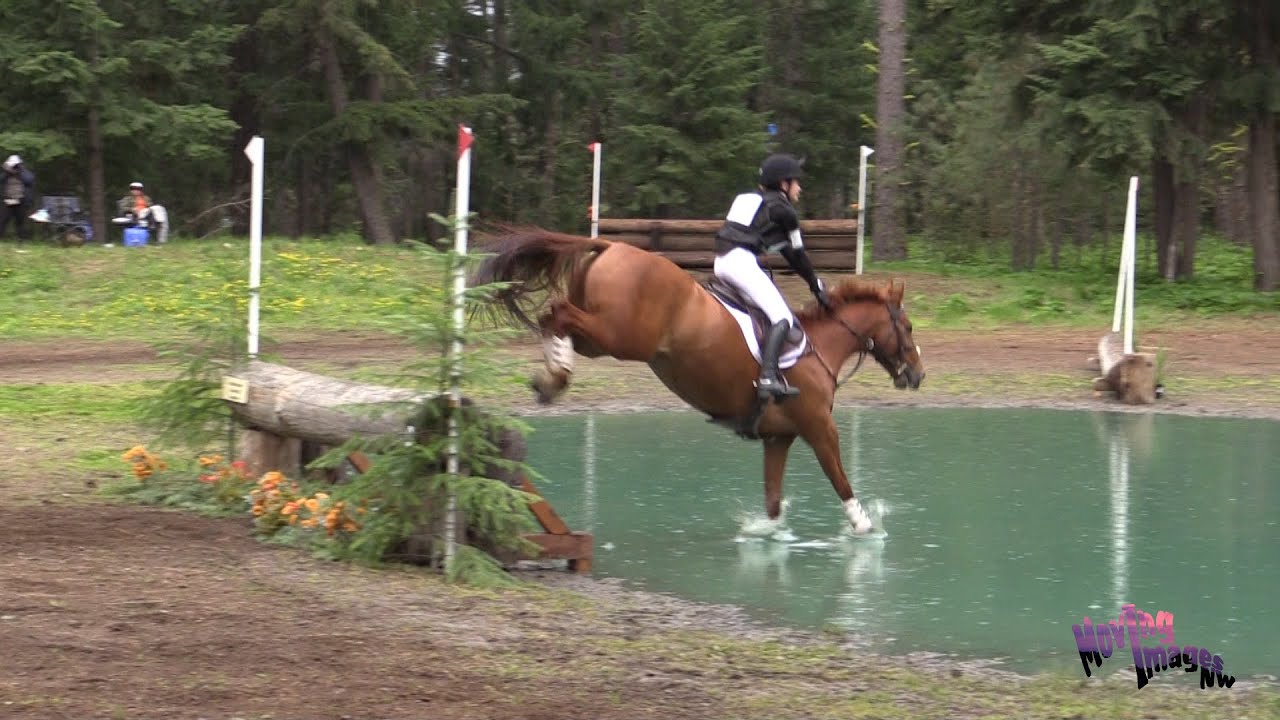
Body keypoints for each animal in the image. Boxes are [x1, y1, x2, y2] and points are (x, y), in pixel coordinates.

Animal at [472, 228, 925, 535]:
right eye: (908, 326)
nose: (918, 374)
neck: (820, 349)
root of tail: (612, 246)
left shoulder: (779, 438)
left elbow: (773, 501)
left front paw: (766, 535)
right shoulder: (819, 428)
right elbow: (840, 478)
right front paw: (864, 525)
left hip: (602, 339)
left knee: (557, 320)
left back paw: (553, 377)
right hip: (623, 337)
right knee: (557, 312)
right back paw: (557, 375)